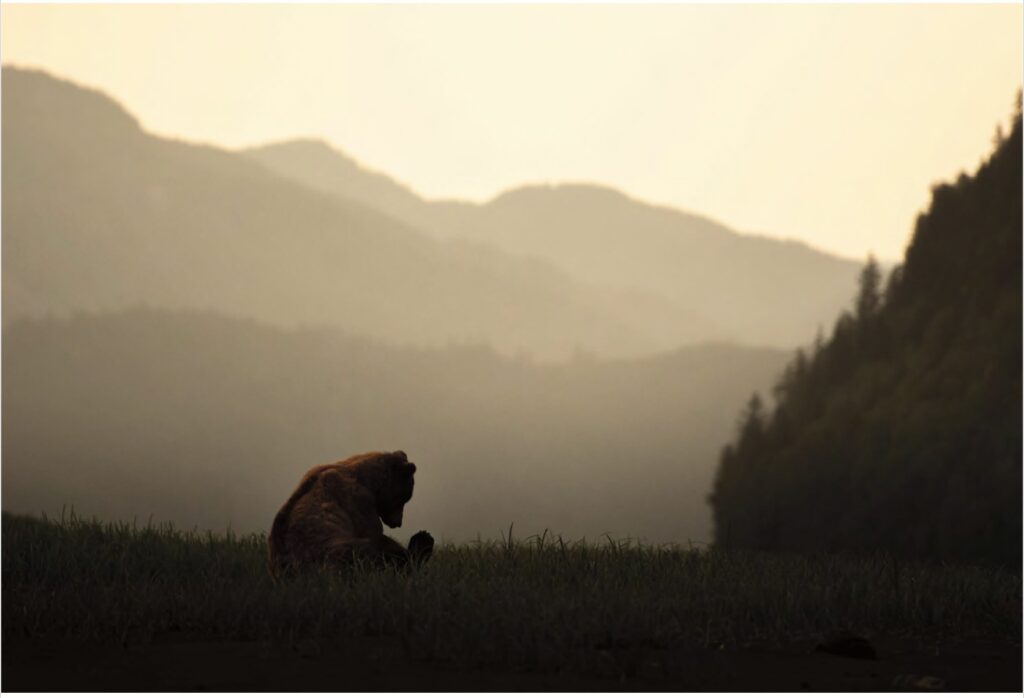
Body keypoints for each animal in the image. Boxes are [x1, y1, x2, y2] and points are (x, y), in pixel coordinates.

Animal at [268, 448, 432, 569]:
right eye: (404, 498)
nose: (398, 523)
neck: (371, 484)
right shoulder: (357, 500)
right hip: (328, 552)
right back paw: (422, 542)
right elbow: (372, 531)